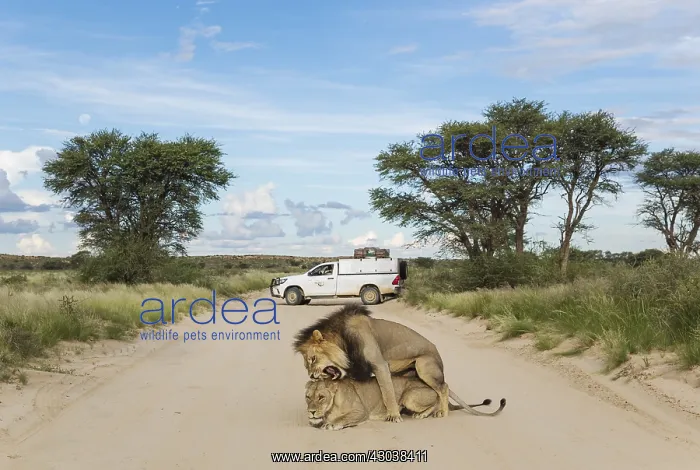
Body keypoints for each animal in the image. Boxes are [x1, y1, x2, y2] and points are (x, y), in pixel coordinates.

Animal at [293, 304, 506, 422]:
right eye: (307, 363)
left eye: (312, 359)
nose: (311, 375)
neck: (344, 342)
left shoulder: (379, 364)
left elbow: (387, 392)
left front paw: (394, 415)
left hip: (423, 364)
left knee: (443, 387)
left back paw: (442, 412)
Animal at [304, 376, 505, 431]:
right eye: (308, 397)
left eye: (321, 397)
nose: (311, 411)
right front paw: (317, 420)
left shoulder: (361, 412)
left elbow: (342, 419)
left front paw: (331, 424)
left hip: (409, 395)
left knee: (437, 401)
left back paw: (422, 414)